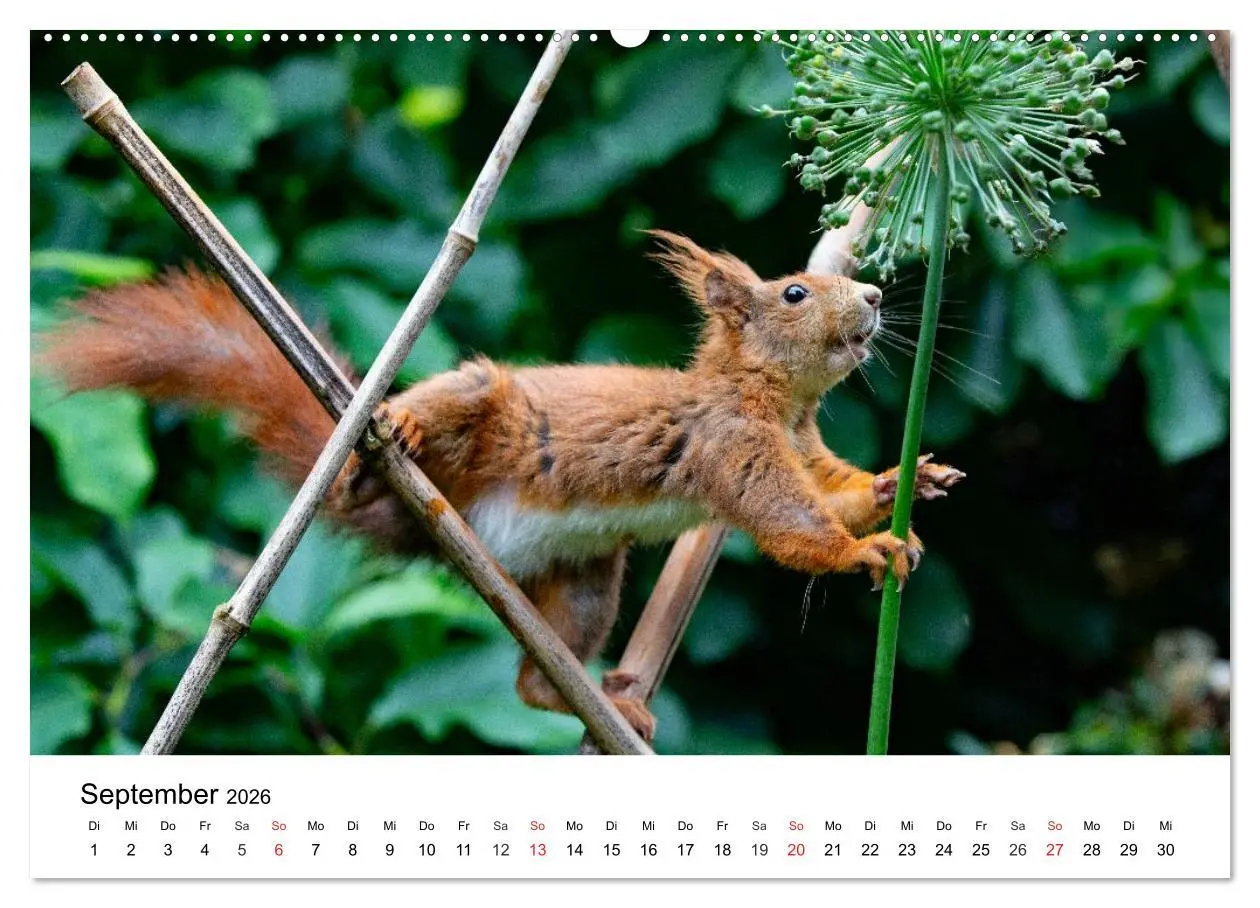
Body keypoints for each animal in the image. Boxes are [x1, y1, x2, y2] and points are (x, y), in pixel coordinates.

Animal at [39, 230, 965, 742]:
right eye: (795, 291)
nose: (874, 294)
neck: (774, 399)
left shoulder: (804, 448)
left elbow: (833, 492)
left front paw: (903, 484)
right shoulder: (733, 445)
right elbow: (788, 522)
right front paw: (863, 552)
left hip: (588, 579)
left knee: (529, 683)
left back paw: (604, 701)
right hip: (470, 408)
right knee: (427, 419)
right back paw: (385, 434)